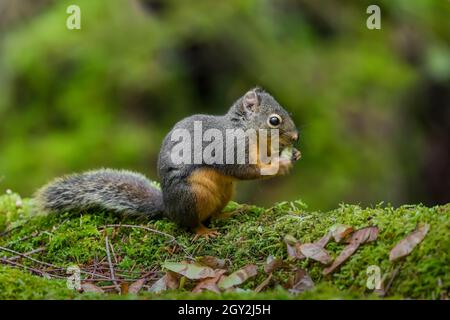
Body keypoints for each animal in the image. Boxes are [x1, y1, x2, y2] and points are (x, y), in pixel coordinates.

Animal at [36, 87, 302, 238]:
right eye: (274, 120)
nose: (296, 137)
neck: (245, 129)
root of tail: (167, 206)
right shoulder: (228, 147)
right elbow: (243, 169)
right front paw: (280, 165)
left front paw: (293, 155)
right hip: (193, 195)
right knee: (190, 223)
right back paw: (203, 232)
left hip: (225, 191)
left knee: (215, 213)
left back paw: (230, 213)